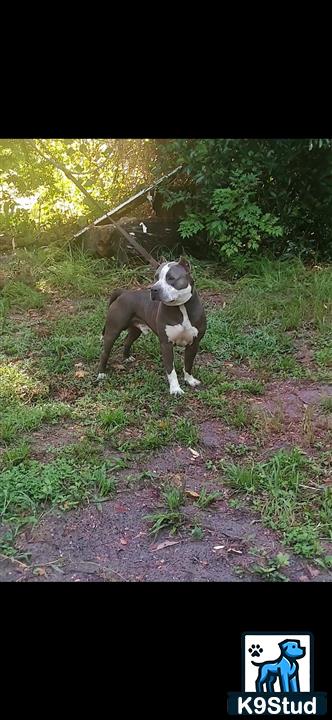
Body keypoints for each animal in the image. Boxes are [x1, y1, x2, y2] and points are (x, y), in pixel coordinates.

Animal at [96, 258, 206, 396]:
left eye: (171, 278)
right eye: (156, 277)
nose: (154, 289)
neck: (181, 307)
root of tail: (123, 292)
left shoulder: (194, 344)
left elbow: (188, 364)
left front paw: (190, 380)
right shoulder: (166, 344)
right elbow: (171, 370)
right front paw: (175, 389)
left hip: (135, 330)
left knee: (127, 341)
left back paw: (126, 358)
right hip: (113, 331)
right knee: (105, 352)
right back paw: (101, 373)